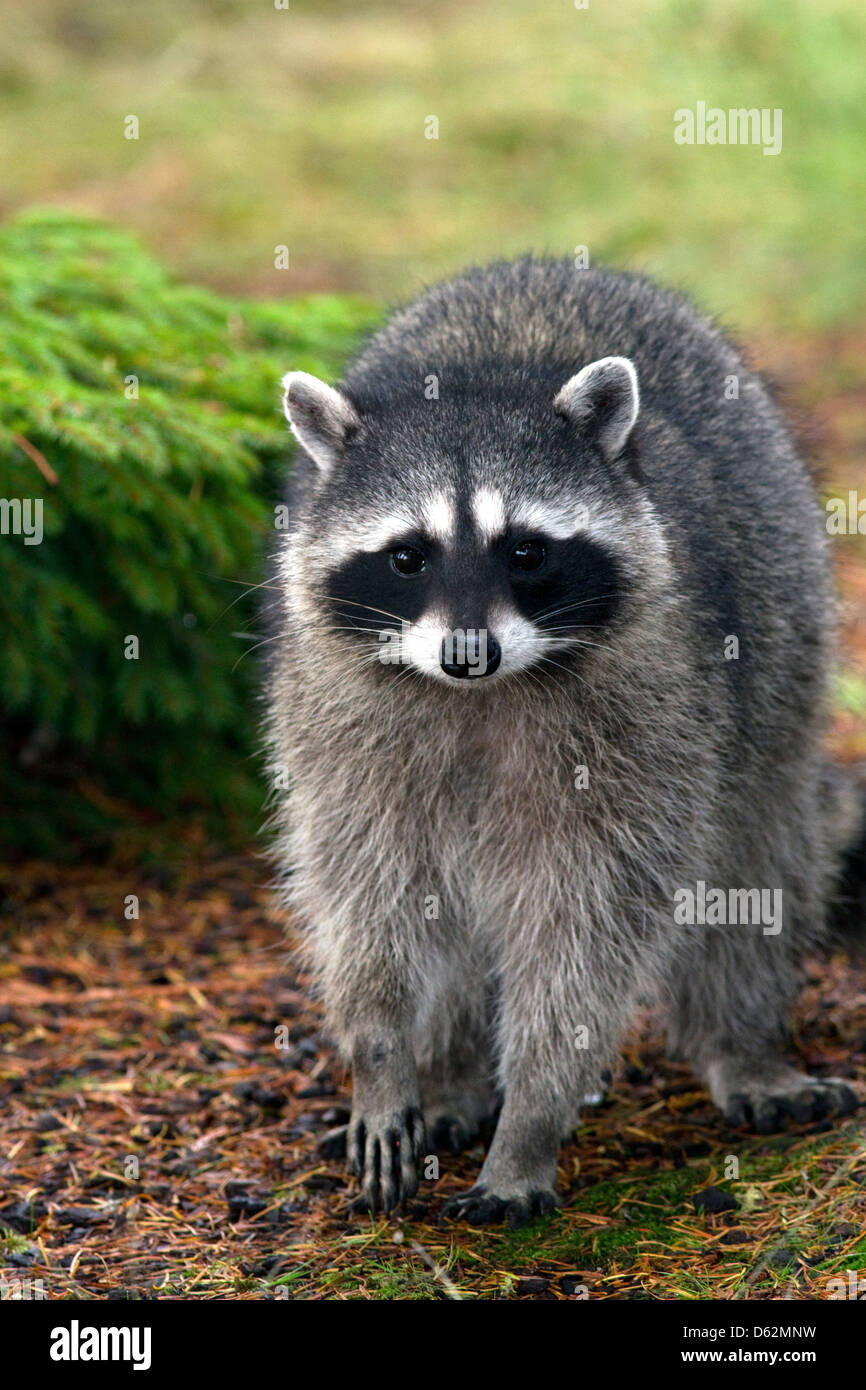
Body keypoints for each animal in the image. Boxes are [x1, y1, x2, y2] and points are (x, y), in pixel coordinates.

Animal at [268, 255, 861, 1223]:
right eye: (407, 557)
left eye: (526, 552)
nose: (467, 653)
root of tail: (541, 260)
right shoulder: (336, 715)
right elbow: (365, 893)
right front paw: (383, 1058)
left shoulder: (648, 717)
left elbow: (588, 926)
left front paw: (531, 1121)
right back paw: (452, 1074)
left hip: (782, 646)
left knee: (755, 857)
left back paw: (741, 1044)